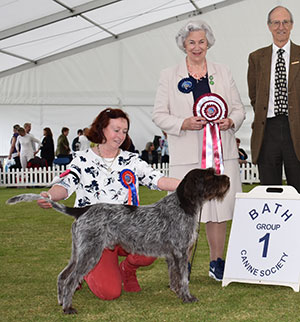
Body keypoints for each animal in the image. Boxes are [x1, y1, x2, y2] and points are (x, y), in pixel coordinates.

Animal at [5, 167, 229, 314]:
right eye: (210, 175)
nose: (226, 177)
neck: (183, 205)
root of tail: (82, 211)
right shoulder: (181, 252)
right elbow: (183, 279)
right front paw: (188, 297)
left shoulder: (172, 255)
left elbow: (175, 278)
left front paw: (178, 294)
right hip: (90, 253)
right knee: (70, 279)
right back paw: (68, 308)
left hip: (78, 252)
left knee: (62, 276)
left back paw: (61, 302)